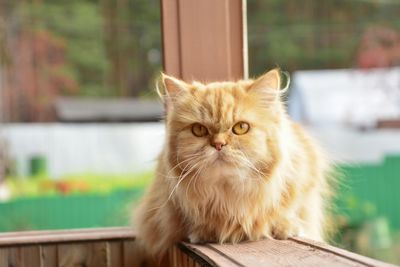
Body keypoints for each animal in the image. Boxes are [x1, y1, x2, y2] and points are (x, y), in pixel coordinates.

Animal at [134, 69, 332, 260]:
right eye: (199, 130)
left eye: (241, 128)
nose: (218, 144)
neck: (228, 195)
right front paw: (203, 232)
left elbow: (287, 211)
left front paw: (284, 227)